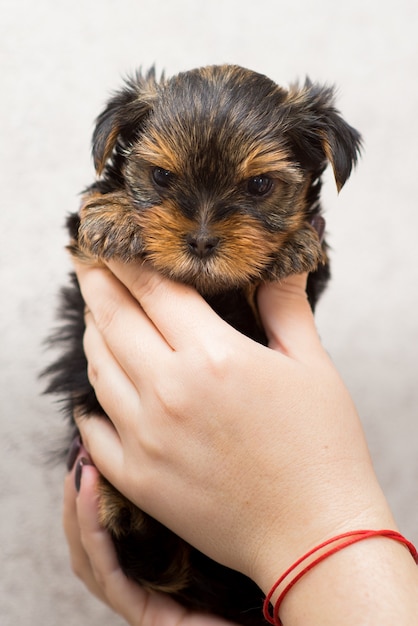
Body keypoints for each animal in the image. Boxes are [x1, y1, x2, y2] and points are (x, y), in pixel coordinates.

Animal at [44, 66, 360, 620]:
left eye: (260, 185)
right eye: (162, 178)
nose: (202, 239)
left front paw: (298, 243)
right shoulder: (77, 248)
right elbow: (83, 221)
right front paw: (114, 217)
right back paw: (125, 511)